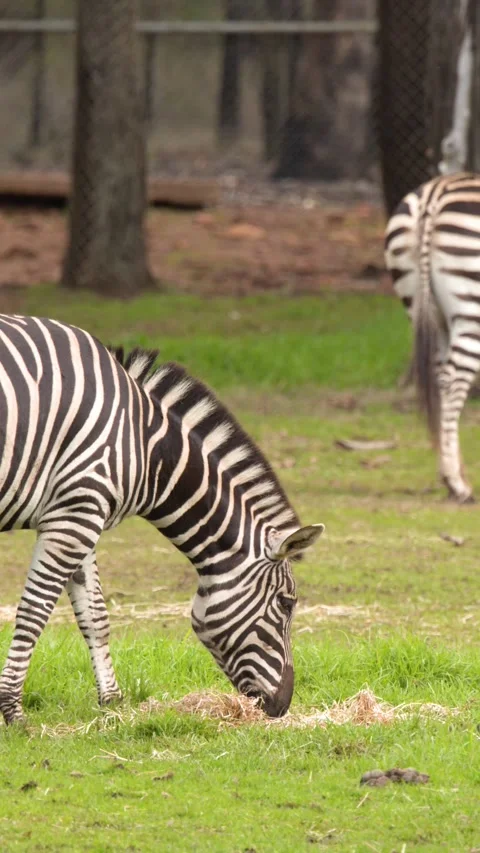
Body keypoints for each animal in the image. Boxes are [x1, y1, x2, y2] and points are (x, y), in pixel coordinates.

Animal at [0, 314, 323, 724]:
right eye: (286, 604)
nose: (282, 707)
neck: (145, 445)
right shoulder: (76, 513)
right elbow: (34, 611)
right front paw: (13, 710)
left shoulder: (81, 510)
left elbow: (95, 615)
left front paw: (113, 702)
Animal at [385, 171, 480, 503]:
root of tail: (436, 193)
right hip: (470, 309)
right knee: (452, 381)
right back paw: (455, 481)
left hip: (422, 309)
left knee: (440, 380)